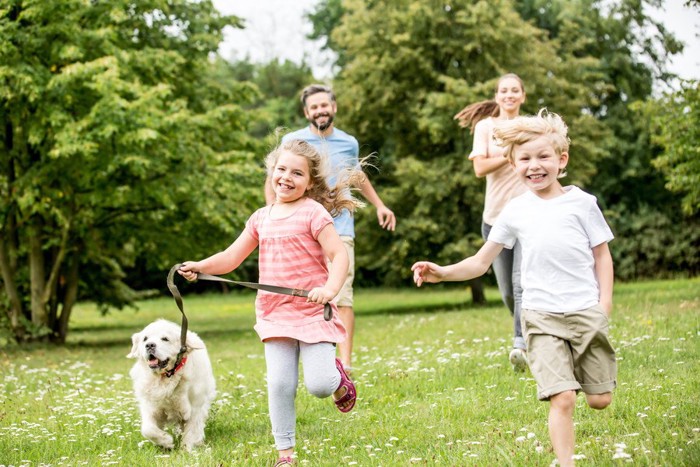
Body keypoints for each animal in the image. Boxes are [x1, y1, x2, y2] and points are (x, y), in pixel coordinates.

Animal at [127, 320, 216, 452]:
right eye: (145, 339)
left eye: (165, 339)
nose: (149, 345)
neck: (166, 377)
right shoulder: (150, 406)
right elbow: (148, 430)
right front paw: (166, 442)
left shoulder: (195, 407)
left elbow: (190, 432)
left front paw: (186, 450)